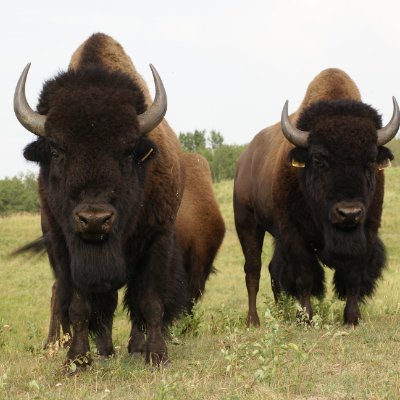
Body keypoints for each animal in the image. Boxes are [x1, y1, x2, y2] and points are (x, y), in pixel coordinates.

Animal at [13, 33, 225, 366]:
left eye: (127, 151)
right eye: (56, 151)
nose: (94, 219)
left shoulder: (157, 239)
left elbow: (148, 300)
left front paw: (156, 355)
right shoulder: (63, 245)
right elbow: (80, 304)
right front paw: (77, 361)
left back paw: (131, 348)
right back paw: (98, 349)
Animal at [233, 68, 398, 324]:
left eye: (371, 160)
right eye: (319, 159)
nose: (348, 213)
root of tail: (244, 160)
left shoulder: (368, 230)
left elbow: (353, 276)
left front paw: (352, 318)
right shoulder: (294, 234)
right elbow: (304, 276)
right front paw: (306, 318)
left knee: (271, 269)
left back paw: (280, 313)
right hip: (248, 224)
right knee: (253, 270)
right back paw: (254, 321)